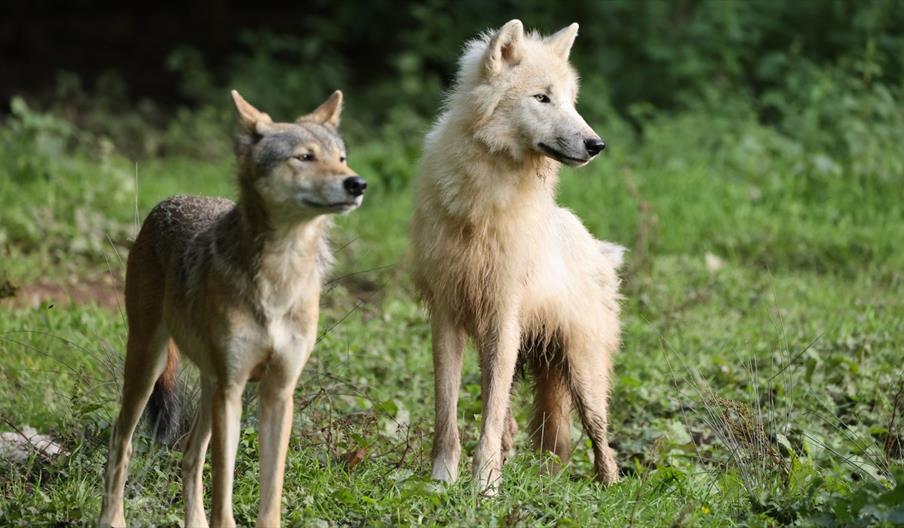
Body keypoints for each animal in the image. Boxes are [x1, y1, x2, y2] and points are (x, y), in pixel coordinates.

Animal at [98, 90, 366, 527]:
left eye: (341, 158)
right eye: (304, 157)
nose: (357, 183)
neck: (280, 276)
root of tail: (169, 201)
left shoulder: (279, 393)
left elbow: (270, 494)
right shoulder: (234, 391)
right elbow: (224, 489)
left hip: (209, 386)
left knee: (190, 455)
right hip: (149, 367)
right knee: (122, 442)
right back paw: (112, 518)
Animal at [411, 19, 624, 495]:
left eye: (570, 101)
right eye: (542, 98)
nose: (597, 144)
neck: (483, 199)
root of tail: (597, 247)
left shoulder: (503, 318)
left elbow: (487, 418)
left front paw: (485, 486)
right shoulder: (446, 318)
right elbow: (447, 412)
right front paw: (442, 481)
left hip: (584, 376)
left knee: (602, 443)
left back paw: (609, 488)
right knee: (541, 435)